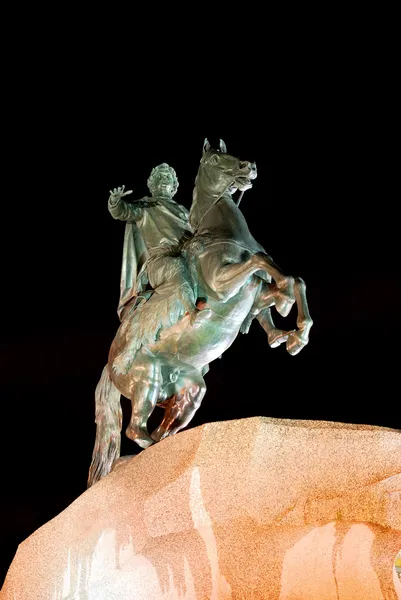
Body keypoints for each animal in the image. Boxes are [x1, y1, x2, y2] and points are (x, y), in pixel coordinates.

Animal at [88, 139, 312, 488]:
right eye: (217, 158)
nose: (249, 166)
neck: (220, 233)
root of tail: (110, 366)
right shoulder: (223, 285)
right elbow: (264, 264)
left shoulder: (253, 292)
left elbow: (288, 281)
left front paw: (293, 334)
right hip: (146, 380)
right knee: (136, 430)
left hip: (190, 391)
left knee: (163, 427)